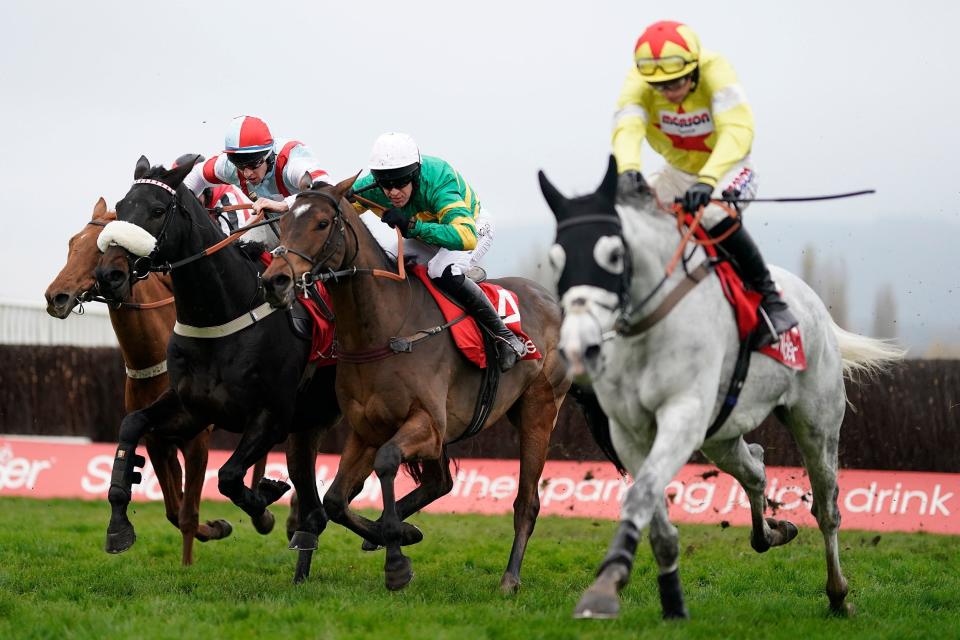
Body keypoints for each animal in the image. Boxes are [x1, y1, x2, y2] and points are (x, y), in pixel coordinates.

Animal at [45, 196, 276, 564]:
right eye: (71, 244)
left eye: (98, 250)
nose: (56, 297)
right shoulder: (156, 438)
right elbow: (173, 508)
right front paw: (217, 527)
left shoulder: (196, 438)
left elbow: (188, 513)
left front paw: (189, 563)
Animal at [94, 158, 342, 584]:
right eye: (122, 207)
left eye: (157, 210)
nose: (109, 274)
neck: (222, 313)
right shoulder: (191, 408)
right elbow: (131, 426)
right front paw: (118, 525)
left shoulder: (271, 415)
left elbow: (228, 477)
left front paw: (264, 503)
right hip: (309, 426)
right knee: (315, 501)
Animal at [262, 178, 572, 592]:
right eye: (283, 221)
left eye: (323, 223)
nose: (275, 280)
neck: (385, 329)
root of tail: (551, 301)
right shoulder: (368, 429)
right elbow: (336, 500)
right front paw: (396, 534)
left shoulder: (427, 424)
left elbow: (387, 462)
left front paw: (396, 559)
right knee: (440, 483)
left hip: (539, 410)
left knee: (526, 501)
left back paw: (509, 578)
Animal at [540, 159, 908, 620]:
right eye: (555, 260)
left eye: (614, 254)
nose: (580, 349)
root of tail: (817, 307)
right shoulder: (630, 434)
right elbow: (652, 509)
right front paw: (668, 598)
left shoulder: (681, 417)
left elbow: (642, 496)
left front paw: (606, 587)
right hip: (722, 436)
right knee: (755, 468)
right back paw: (772, 532)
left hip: (817, 424)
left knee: (827, 508)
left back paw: (838, 593)